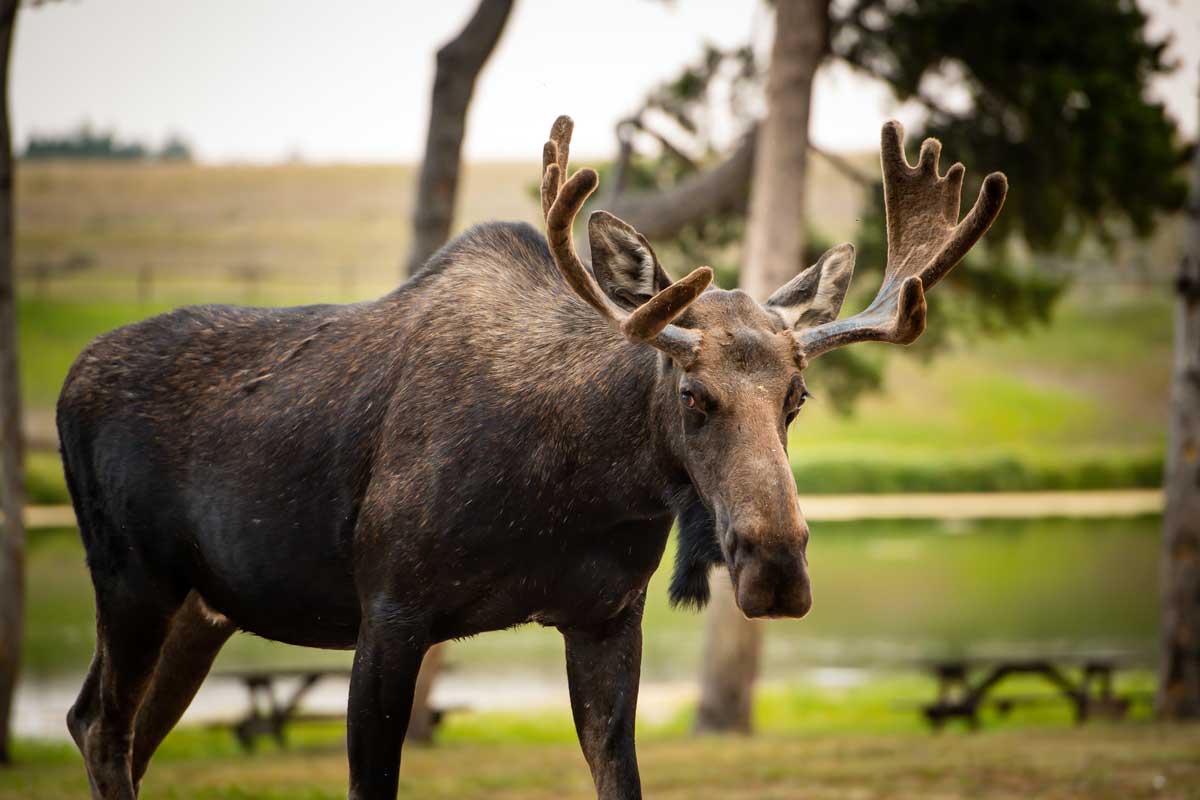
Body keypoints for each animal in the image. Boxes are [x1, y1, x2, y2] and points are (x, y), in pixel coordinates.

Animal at [57, 115, 1005, 799]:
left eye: (796, 398)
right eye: (693, 395)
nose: (775, 565)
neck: (577, 487)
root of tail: (68, 381)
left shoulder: (605, 614)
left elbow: (620, 779)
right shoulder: (390, 607)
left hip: (202, 607)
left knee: (108, 726)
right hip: (132, 579)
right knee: (103, 725)